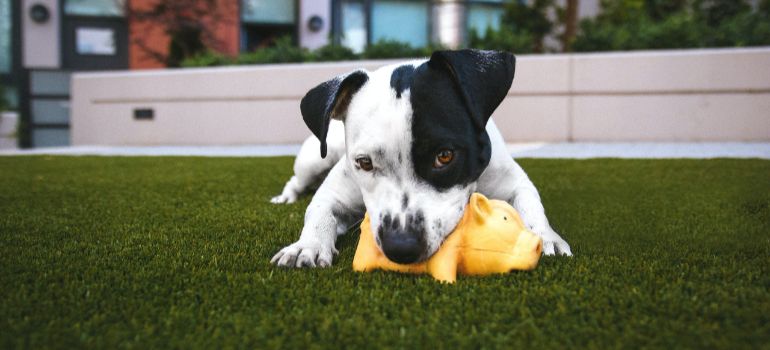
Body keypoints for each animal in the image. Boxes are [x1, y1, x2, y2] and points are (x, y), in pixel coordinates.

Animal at [270, 49, 568, 268]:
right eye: (364, 162)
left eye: (444, 156)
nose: (401, 247)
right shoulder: (335, 193)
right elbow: (319, 212)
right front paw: (306, 246)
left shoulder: (513, 181)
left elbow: (531, 205)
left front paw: (545, 236)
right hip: (314, 159)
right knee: (296, 180)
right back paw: (285, 198)